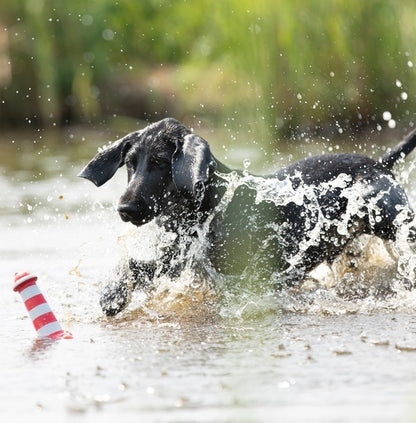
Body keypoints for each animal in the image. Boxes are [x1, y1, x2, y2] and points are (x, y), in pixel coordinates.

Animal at [79, 118, 416, 314]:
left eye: (161, 162)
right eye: (130, 162)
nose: (125, 209)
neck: (209, 207)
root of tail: (379, 165)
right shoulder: (181, 262)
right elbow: (136, 266)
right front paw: (114, 293)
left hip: (398, 226)